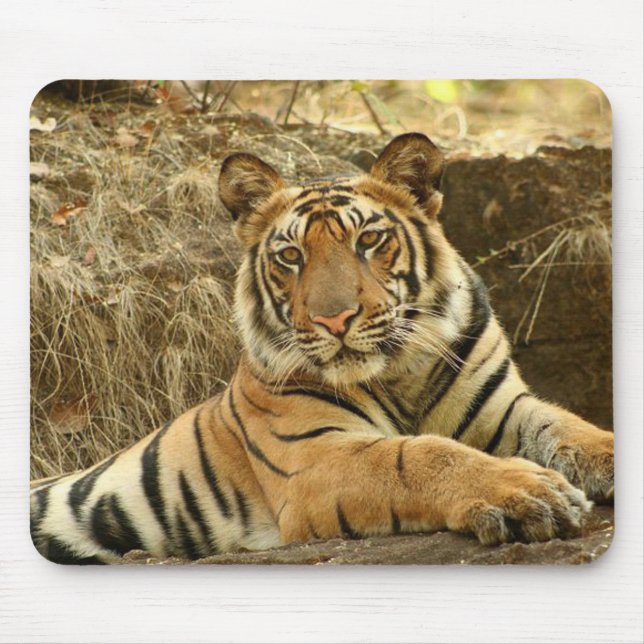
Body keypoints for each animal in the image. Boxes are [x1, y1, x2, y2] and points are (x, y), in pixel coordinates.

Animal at [30, 133, 614, 564]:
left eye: (369, 241)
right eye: (290, 255)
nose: (334, 319)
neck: (399, 371)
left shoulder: (503, 408)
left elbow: (569, 427)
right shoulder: (312, 455)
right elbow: (418, 455)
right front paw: (526, 492)